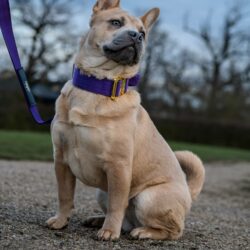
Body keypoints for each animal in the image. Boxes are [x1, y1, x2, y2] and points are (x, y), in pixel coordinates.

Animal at [46, 0, 205, 242]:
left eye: (143, 33)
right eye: (115, 22)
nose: (136, 36)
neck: (98, 86)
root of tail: (188, 191)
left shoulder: (118, 166)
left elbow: (117, 204)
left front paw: (109, 231)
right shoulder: (61, 160)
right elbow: (65, 196)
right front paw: (61, 220)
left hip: (147, 197)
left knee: (172, 230)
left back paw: (143, 231)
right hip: (101, 192)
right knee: (126, 221)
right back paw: (98, 220)